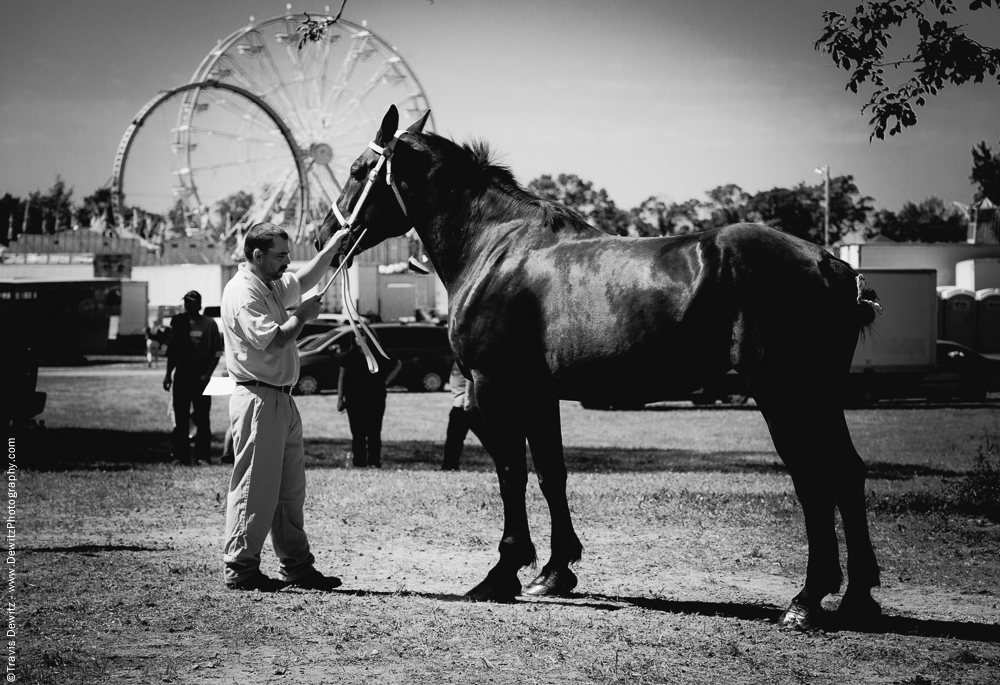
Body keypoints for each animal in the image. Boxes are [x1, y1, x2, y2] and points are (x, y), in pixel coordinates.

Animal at [318, 104, 884, 628]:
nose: (326, 237)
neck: (496, 247)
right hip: (819, 397)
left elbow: (511, 472)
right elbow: (552, 472)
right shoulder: (538, 392)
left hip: (785, 395)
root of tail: (831, 264)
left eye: (357, 170)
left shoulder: (495, 387)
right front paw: (554, 572)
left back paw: (807, 600)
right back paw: (858, 597)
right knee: (848, 472)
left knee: (814, 478)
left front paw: (502, 573)